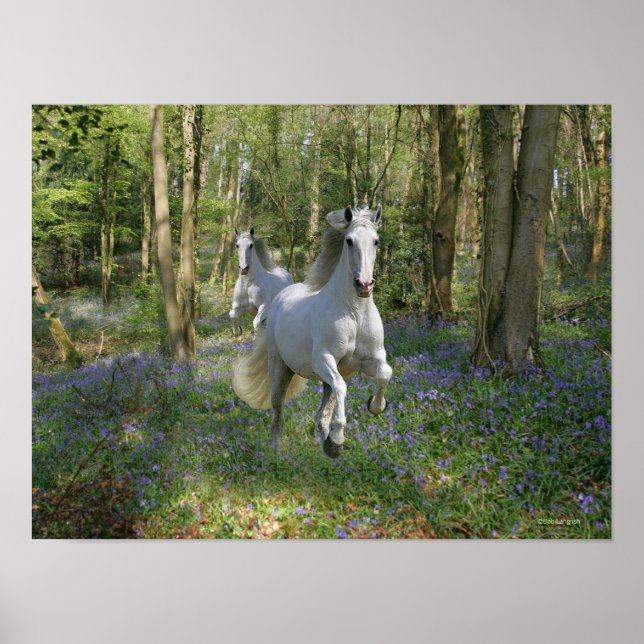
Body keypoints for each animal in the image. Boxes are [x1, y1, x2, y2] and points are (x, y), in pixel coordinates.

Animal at [233, 206, 392, 458]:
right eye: (349, 241)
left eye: (376, 241)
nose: (364, 285)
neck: (355, 314)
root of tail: (283, 295)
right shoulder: (323, 359)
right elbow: (342, 387)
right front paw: (337, 439)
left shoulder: (371, 359)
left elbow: (385, 373)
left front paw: (375, 406)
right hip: (280, 368)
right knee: (278, 414)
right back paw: (279, 454)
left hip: (325, 376)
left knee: (323, 411)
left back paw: (323, 440)